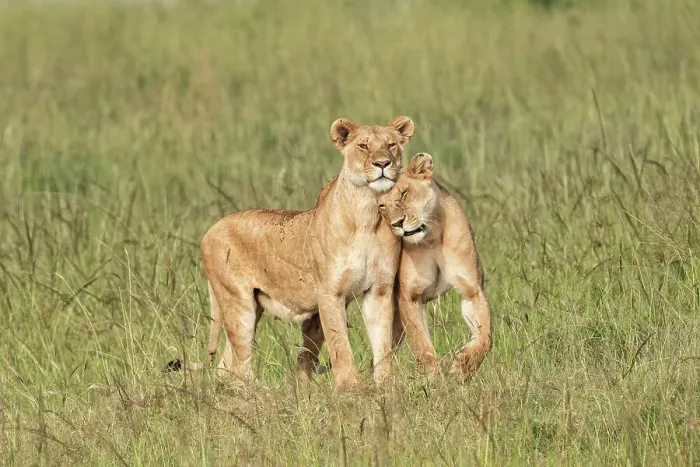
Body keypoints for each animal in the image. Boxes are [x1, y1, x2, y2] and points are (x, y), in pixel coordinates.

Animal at [172, 117, 415, 392]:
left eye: (391, 145)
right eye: (363, 146)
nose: (383, 163)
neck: (368, 213)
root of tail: (210, 230)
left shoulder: (379, 289)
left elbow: (382, 344)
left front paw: (384, 387)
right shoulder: (330, 293)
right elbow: (340, 346)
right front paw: (349, 389)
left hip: (252, 307)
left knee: (226, 364)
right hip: (238, 303)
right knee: (240, 363)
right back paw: (258, 394)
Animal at [378, 152, 492, 378]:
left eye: (404, 193)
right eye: (381, 206)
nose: (397, 224)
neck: (431, 237)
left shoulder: (473, 290)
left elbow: (486, 337)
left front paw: (462, 365)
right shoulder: (409, 296)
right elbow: (422, 345)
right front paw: (434, 378)